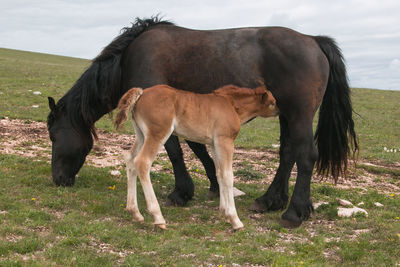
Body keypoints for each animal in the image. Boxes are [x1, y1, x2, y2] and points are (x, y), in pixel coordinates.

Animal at [115, 84, 278, 230]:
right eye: (273, 102)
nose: (279, 112)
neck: (231, 105)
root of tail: (141, 94)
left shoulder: (214, 144)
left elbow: (219, 173)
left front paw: (223, 212)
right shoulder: (225, 141)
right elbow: (228, 176)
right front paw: (235, 220)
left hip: (141, 134)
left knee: (130, 160)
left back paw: (135, 213)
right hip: (158, 133)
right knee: (142, 162)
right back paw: (158, 217)